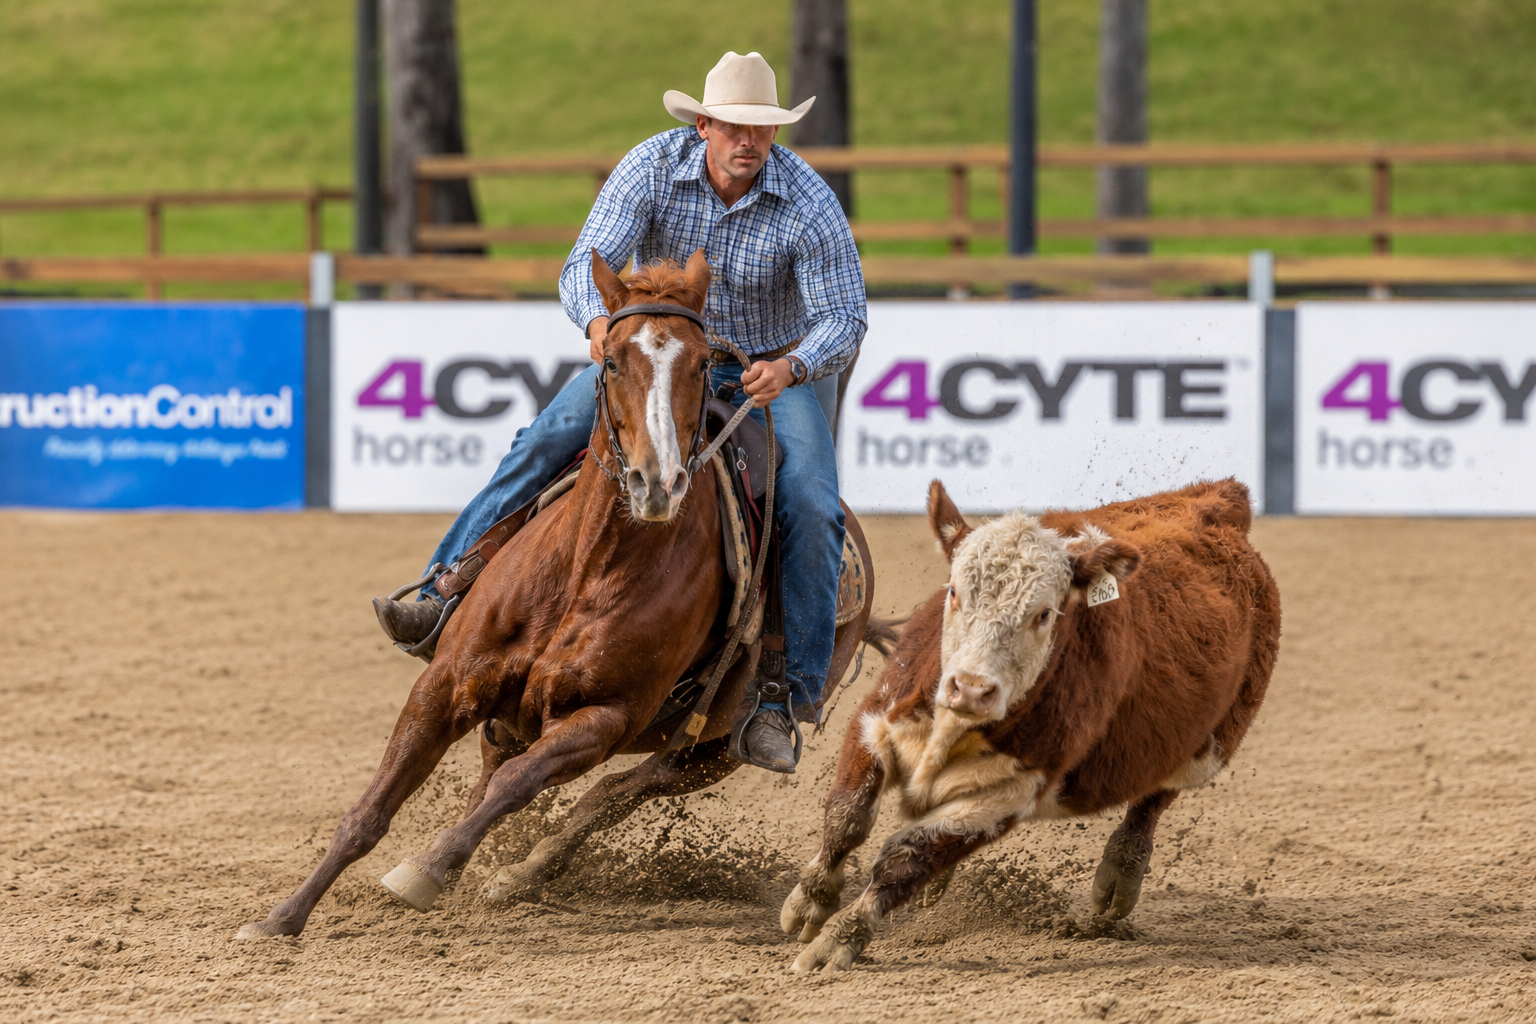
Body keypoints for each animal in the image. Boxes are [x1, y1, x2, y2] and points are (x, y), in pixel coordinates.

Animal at [236, 249, 885, 940]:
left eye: (702, 363)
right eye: (612, 360)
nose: (657, 483)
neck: (586, 567)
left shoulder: (605, 717)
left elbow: (519, 786)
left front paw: (428, 869)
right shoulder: (444, 684)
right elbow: (373, 808)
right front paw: (282, 917)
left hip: (709, 750)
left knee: (614, 792)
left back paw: (520, 871)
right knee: (509, 770)